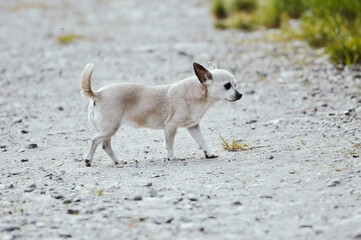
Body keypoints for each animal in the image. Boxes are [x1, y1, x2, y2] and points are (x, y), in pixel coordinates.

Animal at [80, 62, 240, 167]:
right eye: (227, 86)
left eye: (236, 84)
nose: (240, 95)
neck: (198, 94)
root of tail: (98, 94)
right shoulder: (170, 127)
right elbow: (169, 144)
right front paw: (171, 157)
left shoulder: (193, 127)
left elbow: (202, 141)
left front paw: (209, 154)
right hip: (110, 128)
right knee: (95, 140)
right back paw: (88, 160)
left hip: (108, 130)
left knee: (105, 146)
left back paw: (117, 161)